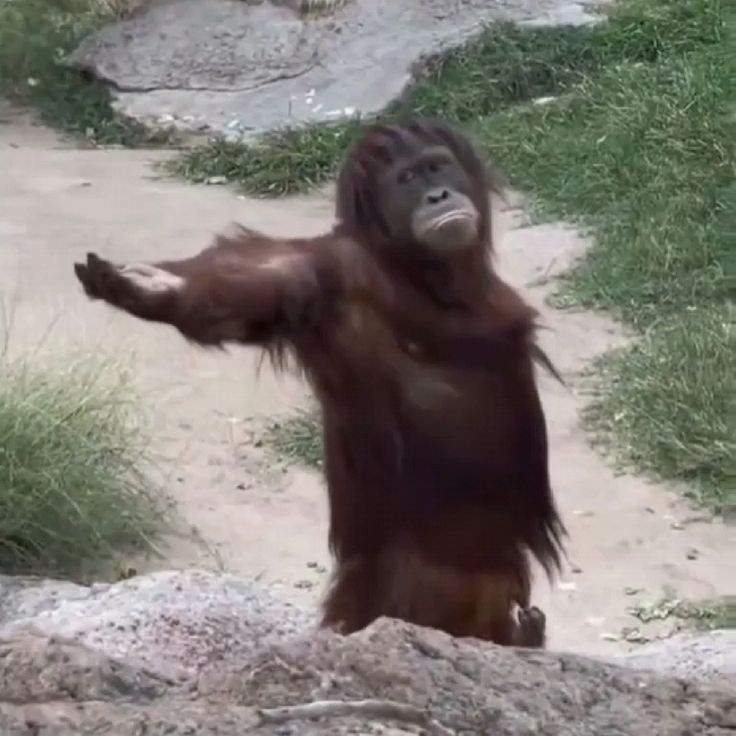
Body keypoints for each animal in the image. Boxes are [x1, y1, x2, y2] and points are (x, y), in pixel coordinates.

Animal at [73, 118, 566, 648]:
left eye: (438, 166)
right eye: (407, 179)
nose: (437, 194)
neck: (425, 276)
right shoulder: (340, 273)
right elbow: (264, 277)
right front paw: (156, 288)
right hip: (416, 595)